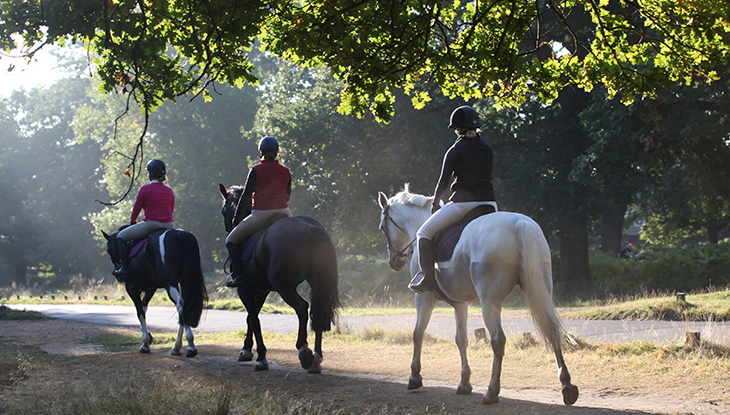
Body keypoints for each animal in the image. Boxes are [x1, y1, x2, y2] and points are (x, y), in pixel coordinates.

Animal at [218, 184, 340, 372]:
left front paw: (260, 357)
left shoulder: (244, 289)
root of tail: (309, 228)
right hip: (317, 283)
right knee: (319, 311)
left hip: (284, 286)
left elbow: (253, 318)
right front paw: (246, 350)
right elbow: (251, 317)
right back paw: (317, 358)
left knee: (302, 307)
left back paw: (304, 351)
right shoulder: (261, 290)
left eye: (224, 209)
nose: (228, 228)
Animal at [378, 188, 576, 406]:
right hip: (542, 289)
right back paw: (567, 386)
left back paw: (491, 391)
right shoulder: (460, 303)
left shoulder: (424, 299)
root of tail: (519, 224)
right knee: (552, 328)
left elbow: (418, 333)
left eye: (383, 228)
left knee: (498, 340)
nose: (394, 262)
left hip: (489, 301)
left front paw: (414, 376)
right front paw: (464, 383)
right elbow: (461, 339)